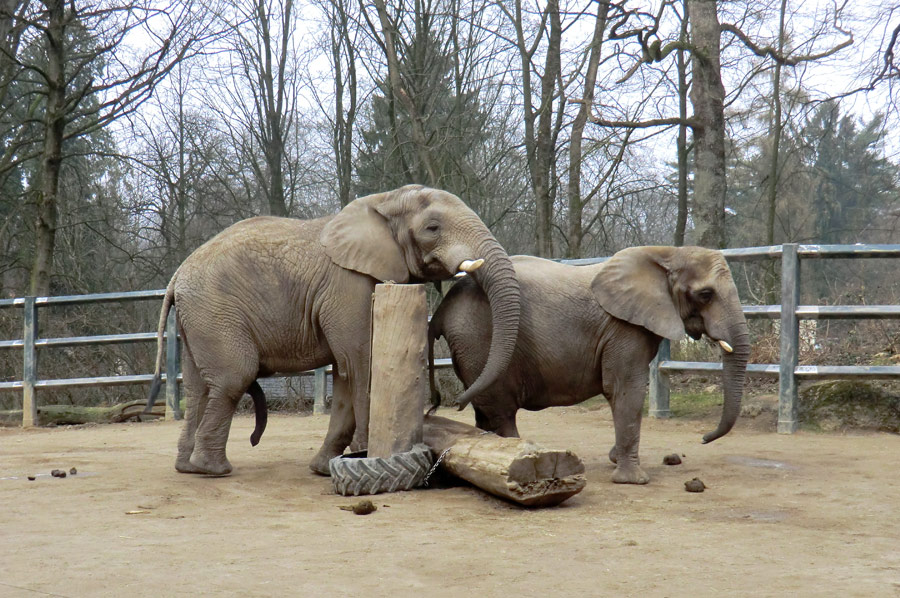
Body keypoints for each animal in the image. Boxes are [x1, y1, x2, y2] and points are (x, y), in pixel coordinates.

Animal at [148, 186, 520, 478]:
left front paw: (325, 468)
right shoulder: (349, 285)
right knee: (232, 378)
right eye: (433, 227)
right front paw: (368, 456)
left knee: (198, 386)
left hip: (198, 318)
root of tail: (177, 275)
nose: (452, 404)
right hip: (214, 312)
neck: (384, 201)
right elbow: (360, 361)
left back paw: (188, 468)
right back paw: (214, 470)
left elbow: (345, 373)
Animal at [432, 248, 748, 488]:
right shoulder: (624, 329)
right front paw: (634, 480)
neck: (667, 253)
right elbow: (625, 390)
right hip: (478, 338)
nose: (704, 438)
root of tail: (443, 305)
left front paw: (616, 459)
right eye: (705, 294)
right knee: (501, 412)